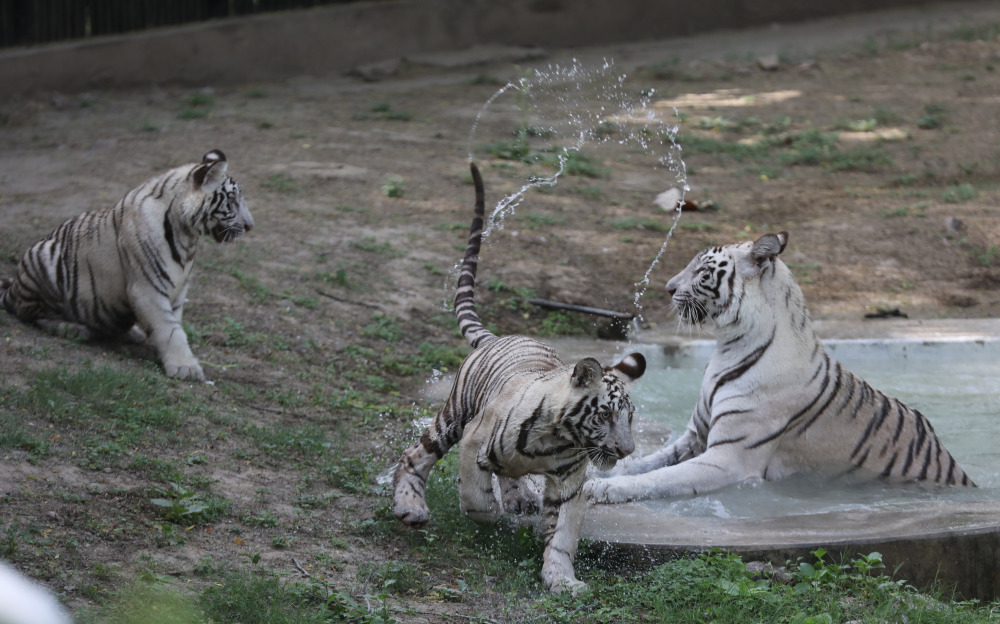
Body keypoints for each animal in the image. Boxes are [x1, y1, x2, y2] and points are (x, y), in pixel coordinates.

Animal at [0, 149, 250, 380]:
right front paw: (185, 368)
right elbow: (171, 330)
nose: (250, 226)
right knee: (30, 313)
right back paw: (73, 328)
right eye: (232, 201)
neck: (188, 236)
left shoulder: (178, 291)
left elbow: (173, 323)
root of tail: (12, 289)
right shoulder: (148, 288)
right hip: (44, 258)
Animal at [394, 162, 644, 596]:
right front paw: (487, 514)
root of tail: (497, 336)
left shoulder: (569, 484)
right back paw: (412, 507)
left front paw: (562, 580)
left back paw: (518, 497)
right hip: (453, 416)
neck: (558, 440)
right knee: (415, 456)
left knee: (504, 473)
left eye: (628, 418)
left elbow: (561, 535)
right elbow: (474, 492)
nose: (626, 451)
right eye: (605, 415)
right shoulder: (473, 438)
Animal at [584, 232, 976, 504]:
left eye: (703, 271)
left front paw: (603, 489)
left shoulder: (727, 458)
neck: (727, 346)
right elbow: (646, 463)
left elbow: (659, 478)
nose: (667, 288)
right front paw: (597, 473)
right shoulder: (695, 436)